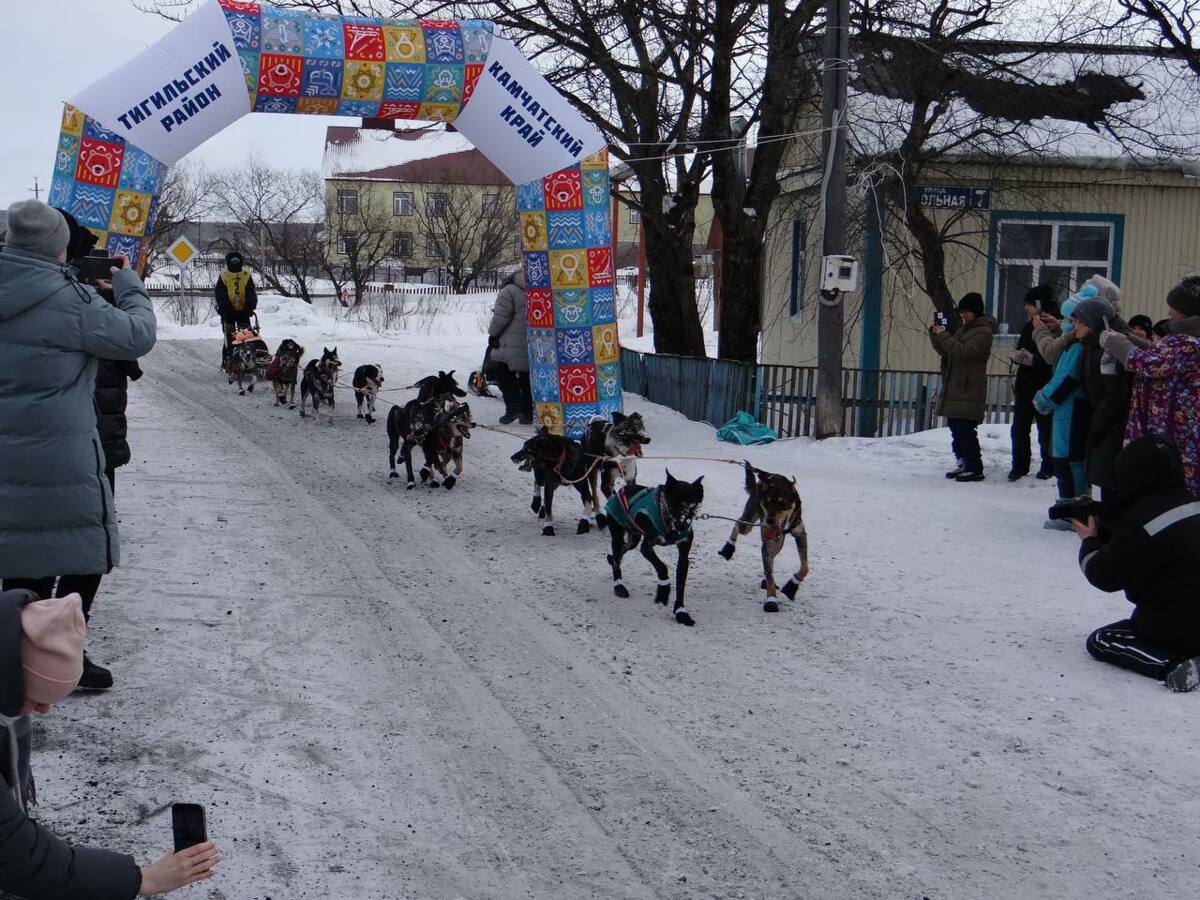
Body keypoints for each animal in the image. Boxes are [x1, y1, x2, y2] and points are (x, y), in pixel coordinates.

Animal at [600, 472, 700, 628]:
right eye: (674, 503)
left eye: (693, 506)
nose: (682, 525)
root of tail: (621, 490)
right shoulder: (646, 548)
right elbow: (662, 568)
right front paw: (663, 590)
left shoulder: (683, 556)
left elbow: (680, 584)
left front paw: (681, 613)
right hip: (617, 533)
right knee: (617, 556)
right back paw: (619, 586)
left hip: (633, 538)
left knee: (622, 551)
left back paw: (612, 561)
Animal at [715, 465, 811, 614]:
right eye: (767, 502)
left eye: (782, 503)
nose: (769, 521)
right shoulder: (768, 542)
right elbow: (770, 575)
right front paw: (771, 600)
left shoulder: (800, 534)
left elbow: (805, 567)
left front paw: (792, 585)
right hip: (749, 524)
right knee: (738, 523)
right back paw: (728, 548)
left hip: (778, 541)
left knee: (771, 559)